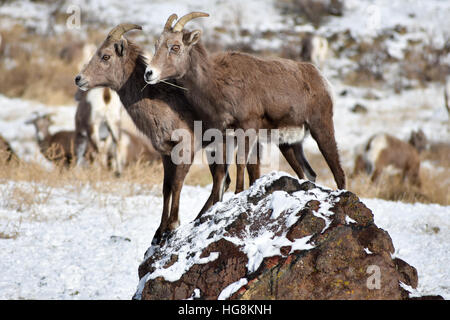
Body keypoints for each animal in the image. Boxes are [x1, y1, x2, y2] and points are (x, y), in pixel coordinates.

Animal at [74, 25, 260, 244]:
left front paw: (172, 226)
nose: (79, 79)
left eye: (105, 56)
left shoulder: (185, 150)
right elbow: (166, 187)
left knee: (224, 176)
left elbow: (178, 184)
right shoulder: (165, 154)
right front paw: (159, 232)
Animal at [146, 13, 346, 190]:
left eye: (175, 47)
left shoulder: (247, 128)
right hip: (289, 144)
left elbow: (240, 164)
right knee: (309, 173)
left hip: (321, 129)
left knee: (338, 173)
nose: (149, 73)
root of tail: (321, 79)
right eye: (156, 45)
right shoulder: (226, 136)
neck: (217, 83)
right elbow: (231, 172)